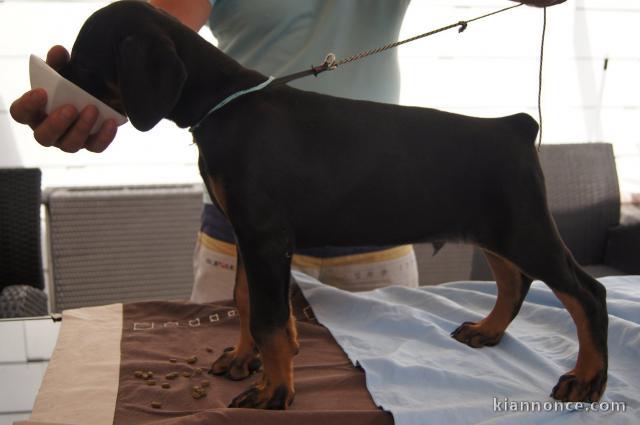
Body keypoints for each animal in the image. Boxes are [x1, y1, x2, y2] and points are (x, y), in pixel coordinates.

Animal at [58, 1, 608, 410]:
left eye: (84, 61)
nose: (56, 66)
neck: (224, 103)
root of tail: (515, 126)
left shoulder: (264, 234)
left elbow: (268, 317)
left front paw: (274, 391)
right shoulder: (246, 233)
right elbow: (245, 300)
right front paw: (244, 361)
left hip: (522, 227)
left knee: (586, 292)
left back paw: (586, 378)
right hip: (493, 228)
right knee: (516, 281)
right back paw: (488, 331)